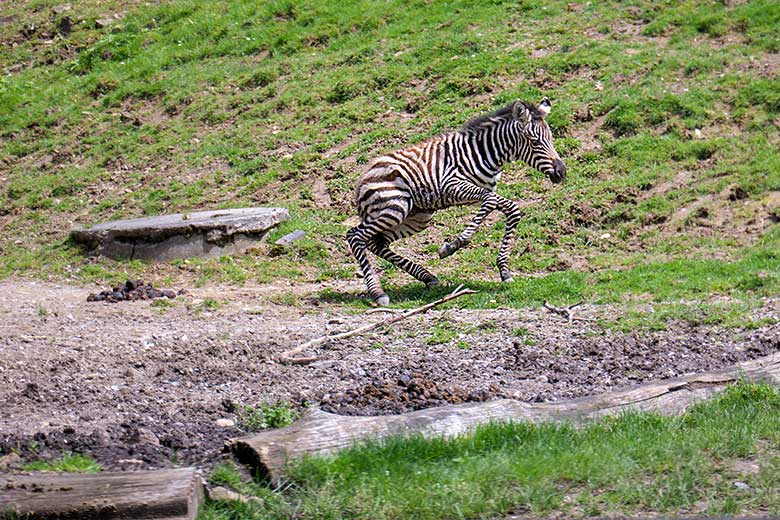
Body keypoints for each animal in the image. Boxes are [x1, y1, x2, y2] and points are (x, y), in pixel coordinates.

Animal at [348, 97, 568, 304]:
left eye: (551, 139)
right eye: (535, 142)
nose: (561, 173)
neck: (484, 153)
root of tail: (362, 179)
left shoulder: (481, 192)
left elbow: (512, 209)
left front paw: (504, 271)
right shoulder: (452, 186)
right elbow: (489, 202)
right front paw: (453, 245)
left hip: (416, 217)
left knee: (376, 243)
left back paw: (427, 277)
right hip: (394, 208)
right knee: (355, 236)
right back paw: (378, 293)